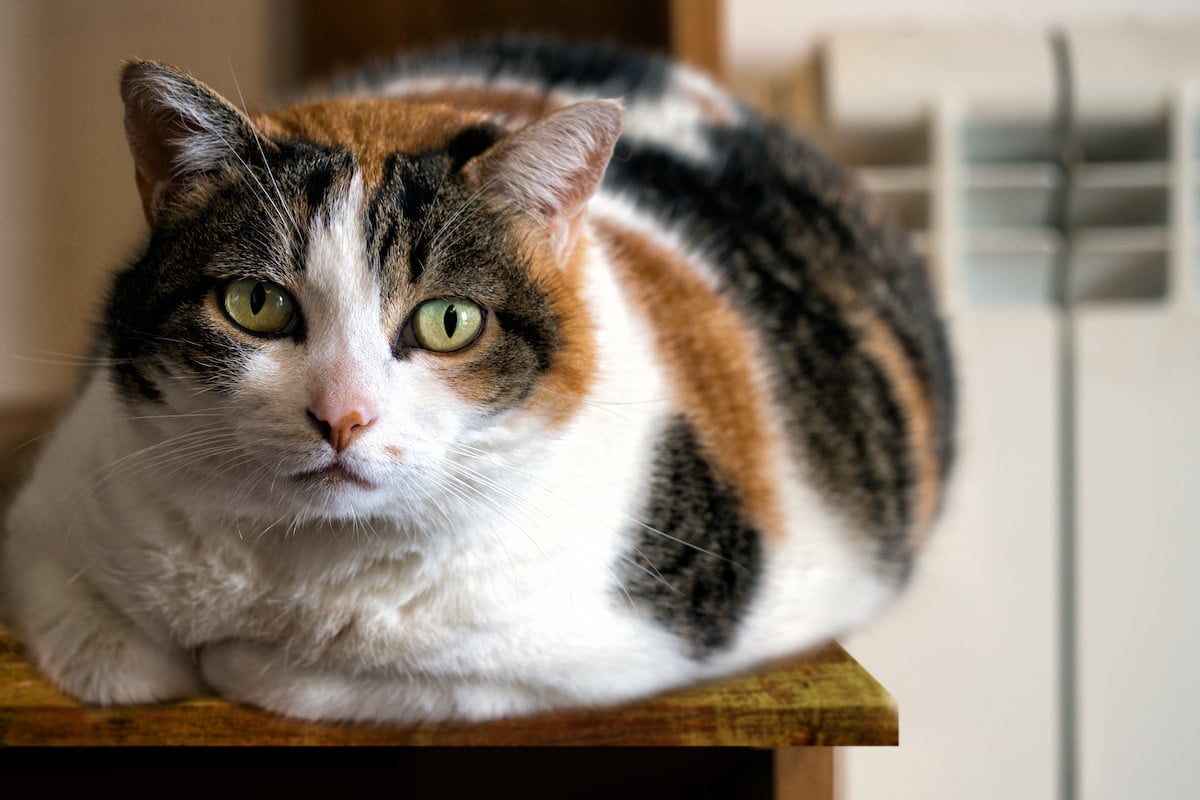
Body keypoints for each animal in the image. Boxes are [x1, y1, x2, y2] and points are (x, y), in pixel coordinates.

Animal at [0, 38, 955, 724]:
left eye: (448, 321)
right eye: (255, 304)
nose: (341, 416)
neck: (300, 570)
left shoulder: (604, 646)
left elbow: (330, 676)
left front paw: (237, 660)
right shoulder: (47, 525)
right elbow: (113, 657)